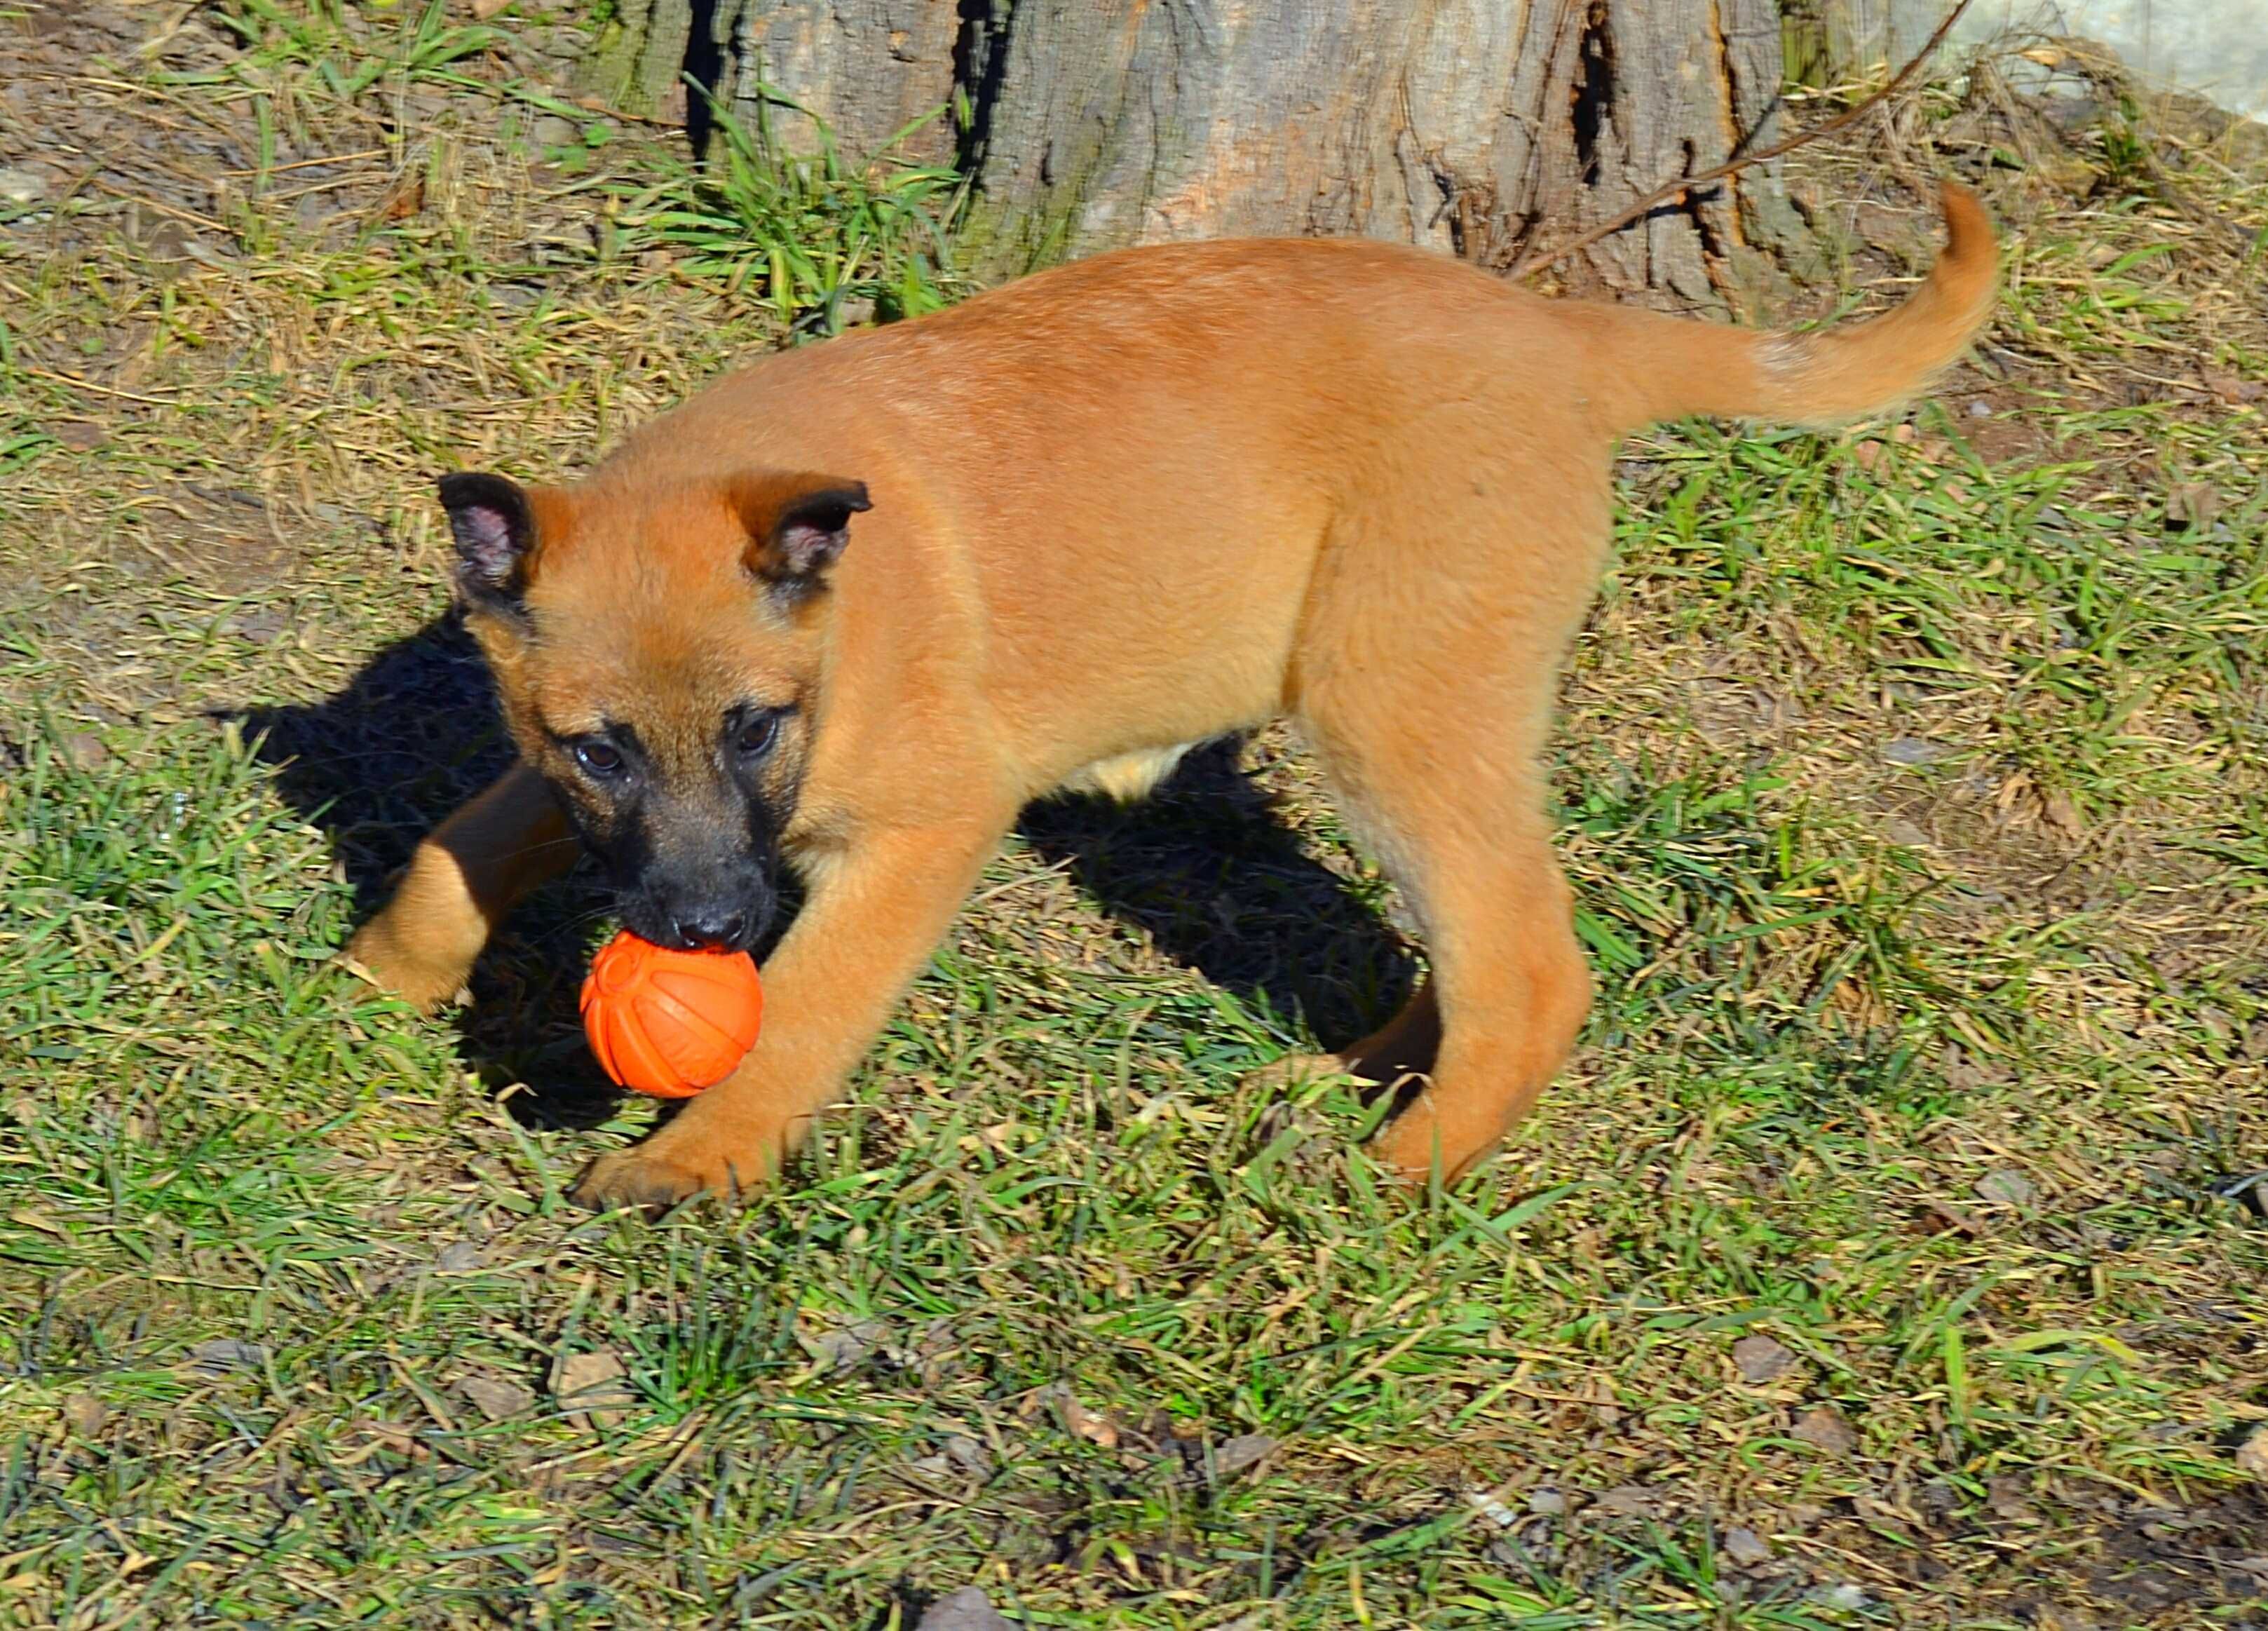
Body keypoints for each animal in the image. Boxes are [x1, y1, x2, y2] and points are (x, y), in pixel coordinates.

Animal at [344, 188, 1995, 1215]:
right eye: (597, 748)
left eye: (756, 725)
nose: (698, 930)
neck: (847, 618)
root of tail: (1560, 332)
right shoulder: (561, 779)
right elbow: (461, 839)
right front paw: (377, 978)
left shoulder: (931, 823)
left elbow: (807, 1003)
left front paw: (704, 1157)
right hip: (1424, 719)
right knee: (1473, 935)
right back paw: (1367, 1073)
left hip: (1394, 704)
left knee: (1530, 963)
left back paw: (1400, 1175)